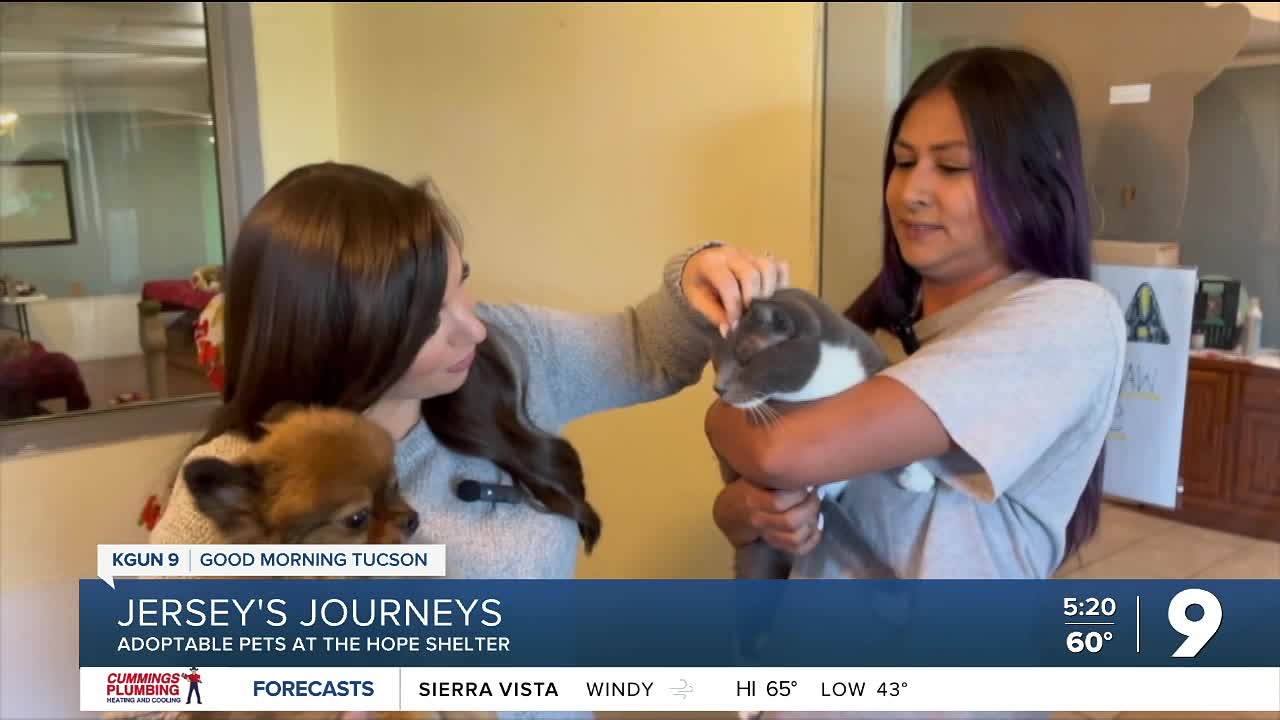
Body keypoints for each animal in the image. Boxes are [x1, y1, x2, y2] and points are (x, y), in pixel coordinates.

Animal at [710, 287, 936, 580]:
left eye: (745, 358)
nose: (718, 389)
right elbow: (832, 519)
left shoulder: (874, 362)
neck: (820, 384)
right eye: (715, 363)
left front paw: (918, 475)